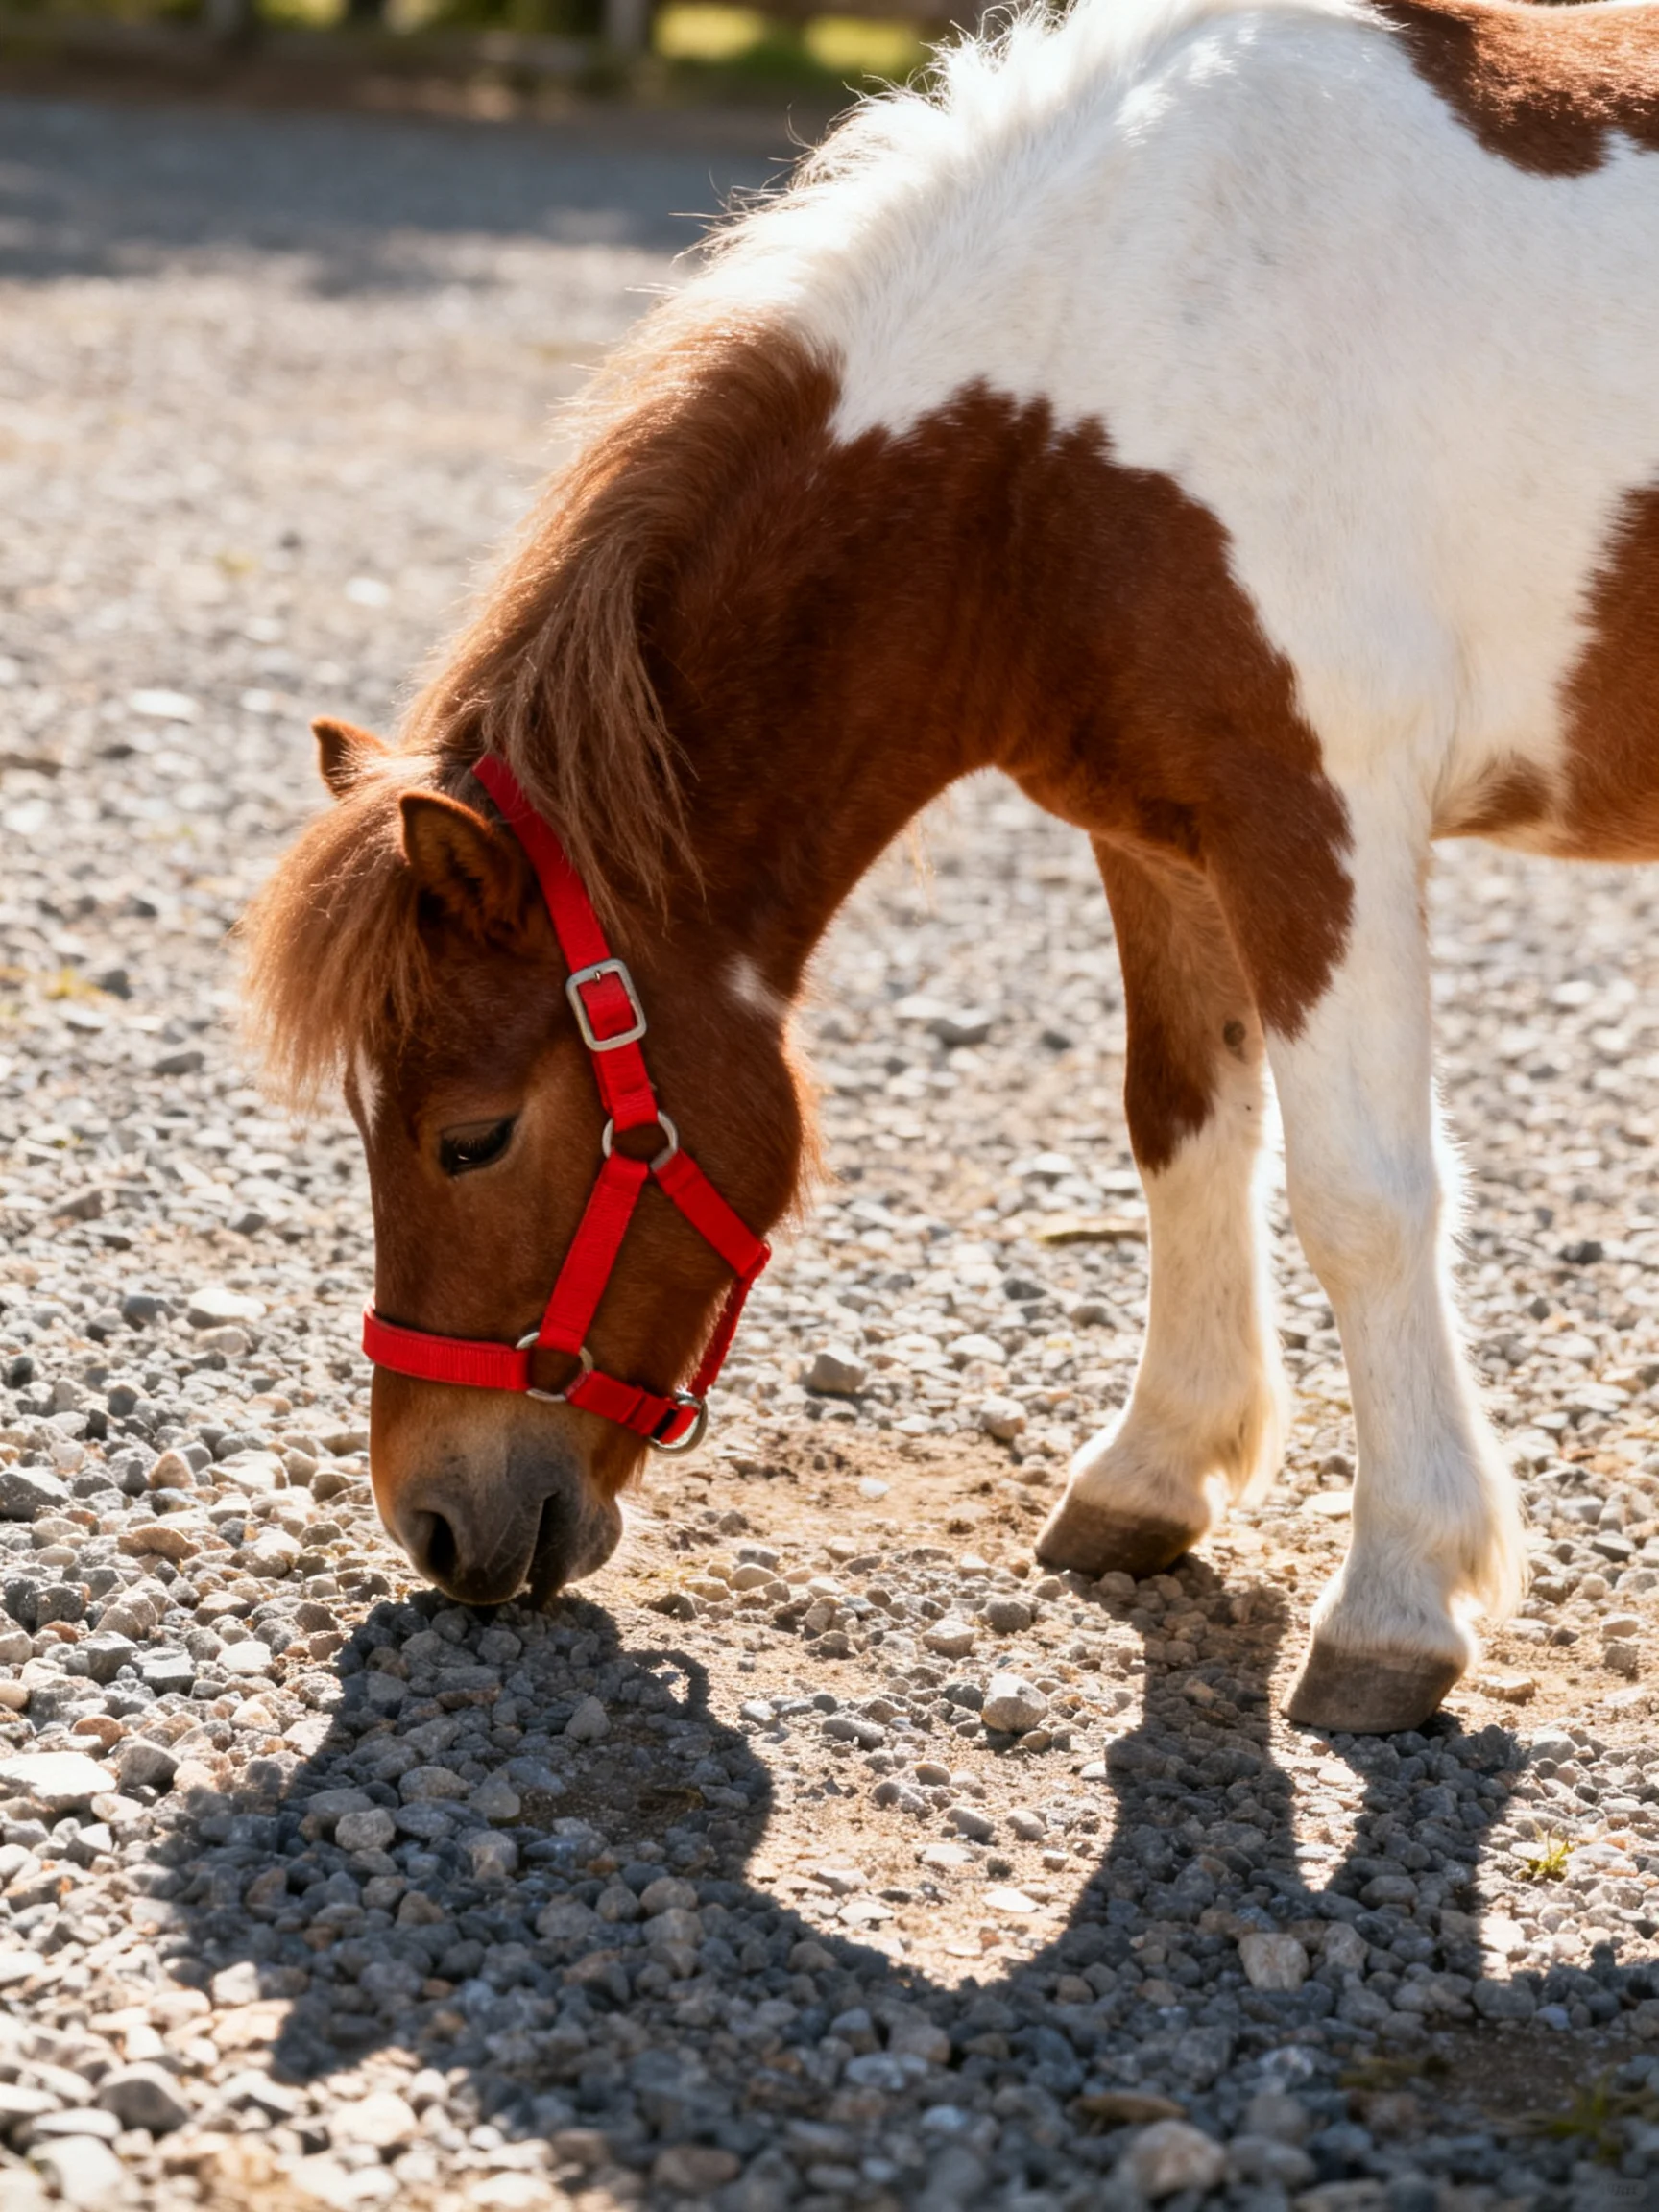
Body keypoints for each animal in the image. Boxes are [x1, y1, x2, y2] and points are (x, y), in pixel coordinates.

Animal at [244, 0, 1659, 1737]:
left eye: (472, 1137)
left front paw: (1398, 1598)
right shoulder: (1163, 835)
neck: (1079, 414)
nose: (438, 1523)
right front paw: (1154, 1474)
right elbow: (1182, 1132)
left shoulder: (1318, 813)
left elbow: (1360, 1197)